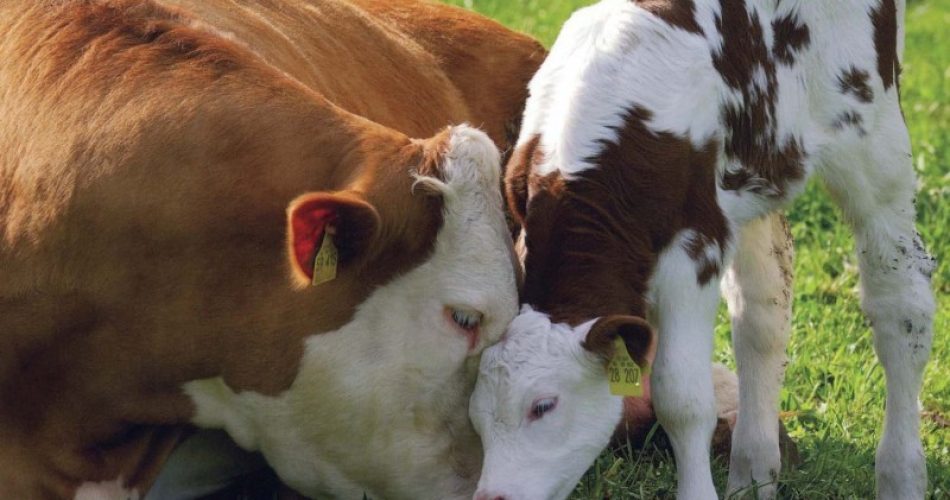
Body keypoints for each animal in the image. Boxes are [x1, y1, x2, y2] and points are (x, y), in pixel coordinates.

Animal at [469, 0, 935, 499]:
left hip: (873, 136)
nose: (492, 496)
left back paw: (901, 474)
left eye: (543, 405)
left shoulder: (694, 249)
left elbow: (681, 398)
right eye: (475, 416)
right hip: (756, 178)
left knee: (901, 302)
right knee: (763, 311)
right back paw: (753, 473)